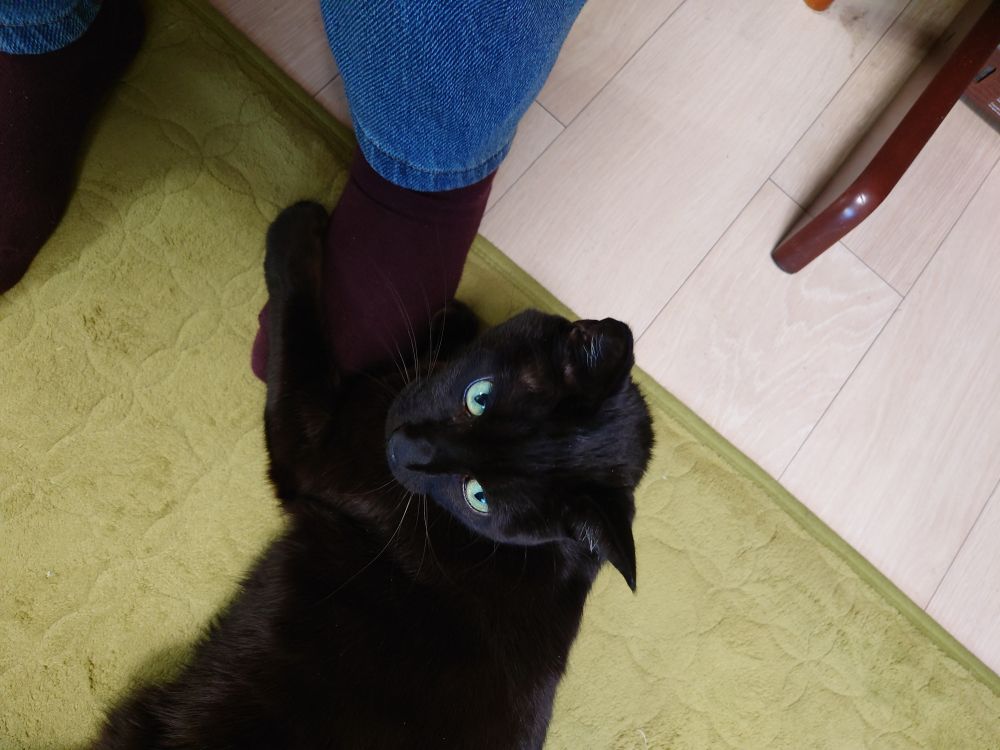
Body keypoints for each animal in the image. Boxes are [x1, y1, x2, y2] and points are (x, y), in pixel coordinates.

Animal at [93, 201, 654, 749]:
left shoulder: (318, 448)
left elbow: (302, 336)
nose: (405, 450)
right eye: (479, 396)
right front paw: (452, 321)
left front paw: (296, 228)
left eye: (479, 497)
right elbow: (417, 355)